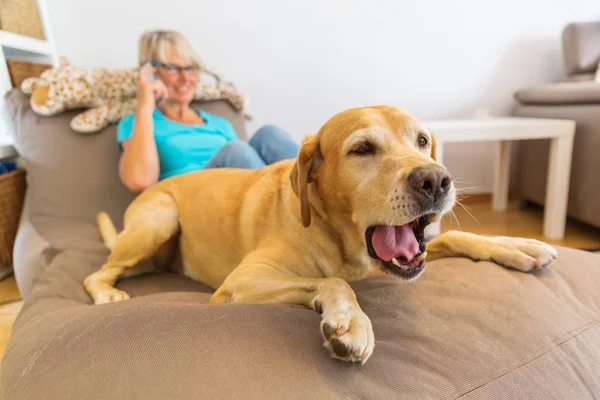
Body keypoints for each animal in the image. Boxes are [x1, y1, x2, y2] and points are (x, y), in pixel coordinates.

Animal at [85, 104, 556, 364]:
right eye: (362, 149)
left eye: (422, 141)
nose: (437, 180)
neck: (343, 241)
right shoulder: (242, 281)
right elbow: (333, 280)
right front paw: (351, 321)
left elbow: (459, 238)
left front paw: (518, 245)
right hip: (159, 219)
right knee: (98, 272)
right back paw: (107, 292)